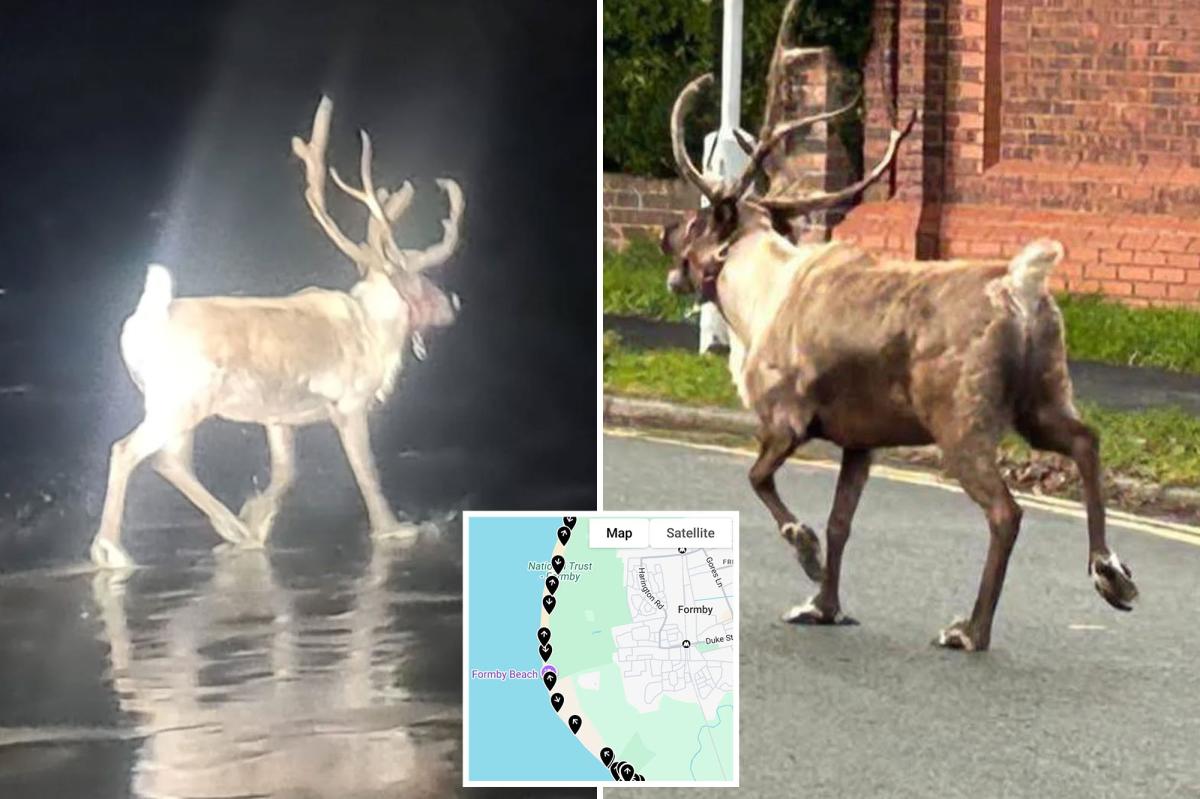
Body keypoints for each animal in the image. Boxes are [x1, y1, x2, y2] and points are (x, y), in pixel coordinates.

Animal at [89, 96, 464, 569]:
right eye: (424, 280)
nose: (453, 305)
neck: (375, 330)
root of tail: (140, 323)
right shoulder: (349, 403)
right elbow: (367, 472)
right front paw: (394, 528)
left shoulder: (278, 416)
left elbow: (287, 474)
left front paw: (257, 515)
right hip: (181, 401)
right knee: (129, 451)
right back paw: (112, 549)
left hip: (175, 405)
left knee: (170, 462)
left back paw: (234, 528)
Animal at [659, 0, 1138, 651]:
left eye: (699, 218)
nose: (663, 235)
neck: (753, 298)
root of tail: (1021, 286)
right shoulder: (861, 440)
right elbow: (841, 522)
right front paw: (824, 605)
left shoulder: (786, 419)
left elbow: (759, 481)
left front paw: (804, 553)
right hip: (1041, 397)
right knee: (1087, 441)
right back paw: (1110, 574)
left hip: (961, 421)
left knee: (1006, 512)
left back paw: (972, 629)